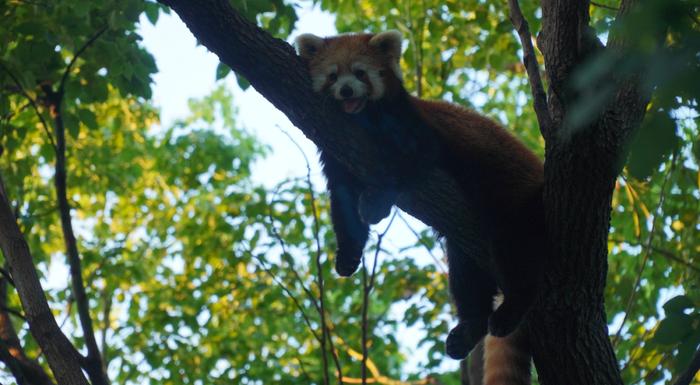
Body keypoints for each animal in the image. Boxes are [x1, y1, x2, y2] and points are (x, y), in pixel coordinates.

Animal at [294, 31, 540, 376]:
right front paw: (348, 254)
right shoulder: (335, 148)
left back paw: (512, 307)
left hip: (513, 199)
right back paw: (470, 327)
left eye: (360, 73)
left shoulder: (412, 127)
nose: (346, 90)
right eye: (332, 75)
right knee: (466, 272)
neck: (363, 120)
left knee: (513, 247)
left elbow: (411, 160)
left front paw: (376, 202)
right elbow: (342, 201)